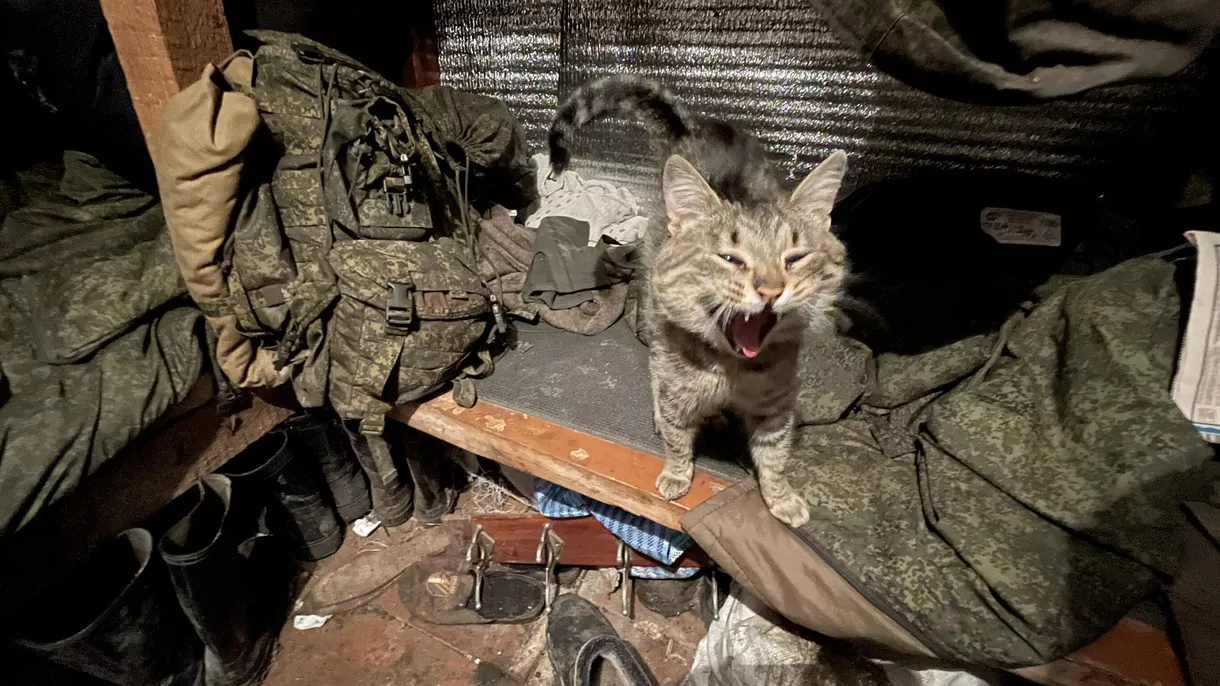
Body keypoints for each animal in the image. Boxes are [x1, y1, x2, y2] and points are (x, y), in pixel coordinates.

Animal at [549, 75, 844, 522]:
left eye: (794, 258)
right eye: (730, 258)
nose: (771, 289)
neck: (733, 370)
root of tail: (690, 128)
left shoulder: (777, 405)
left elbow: (774, 457)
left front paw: (781, 497)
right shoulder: (677, 387)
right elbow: (676, 436)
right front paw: (676, 472)